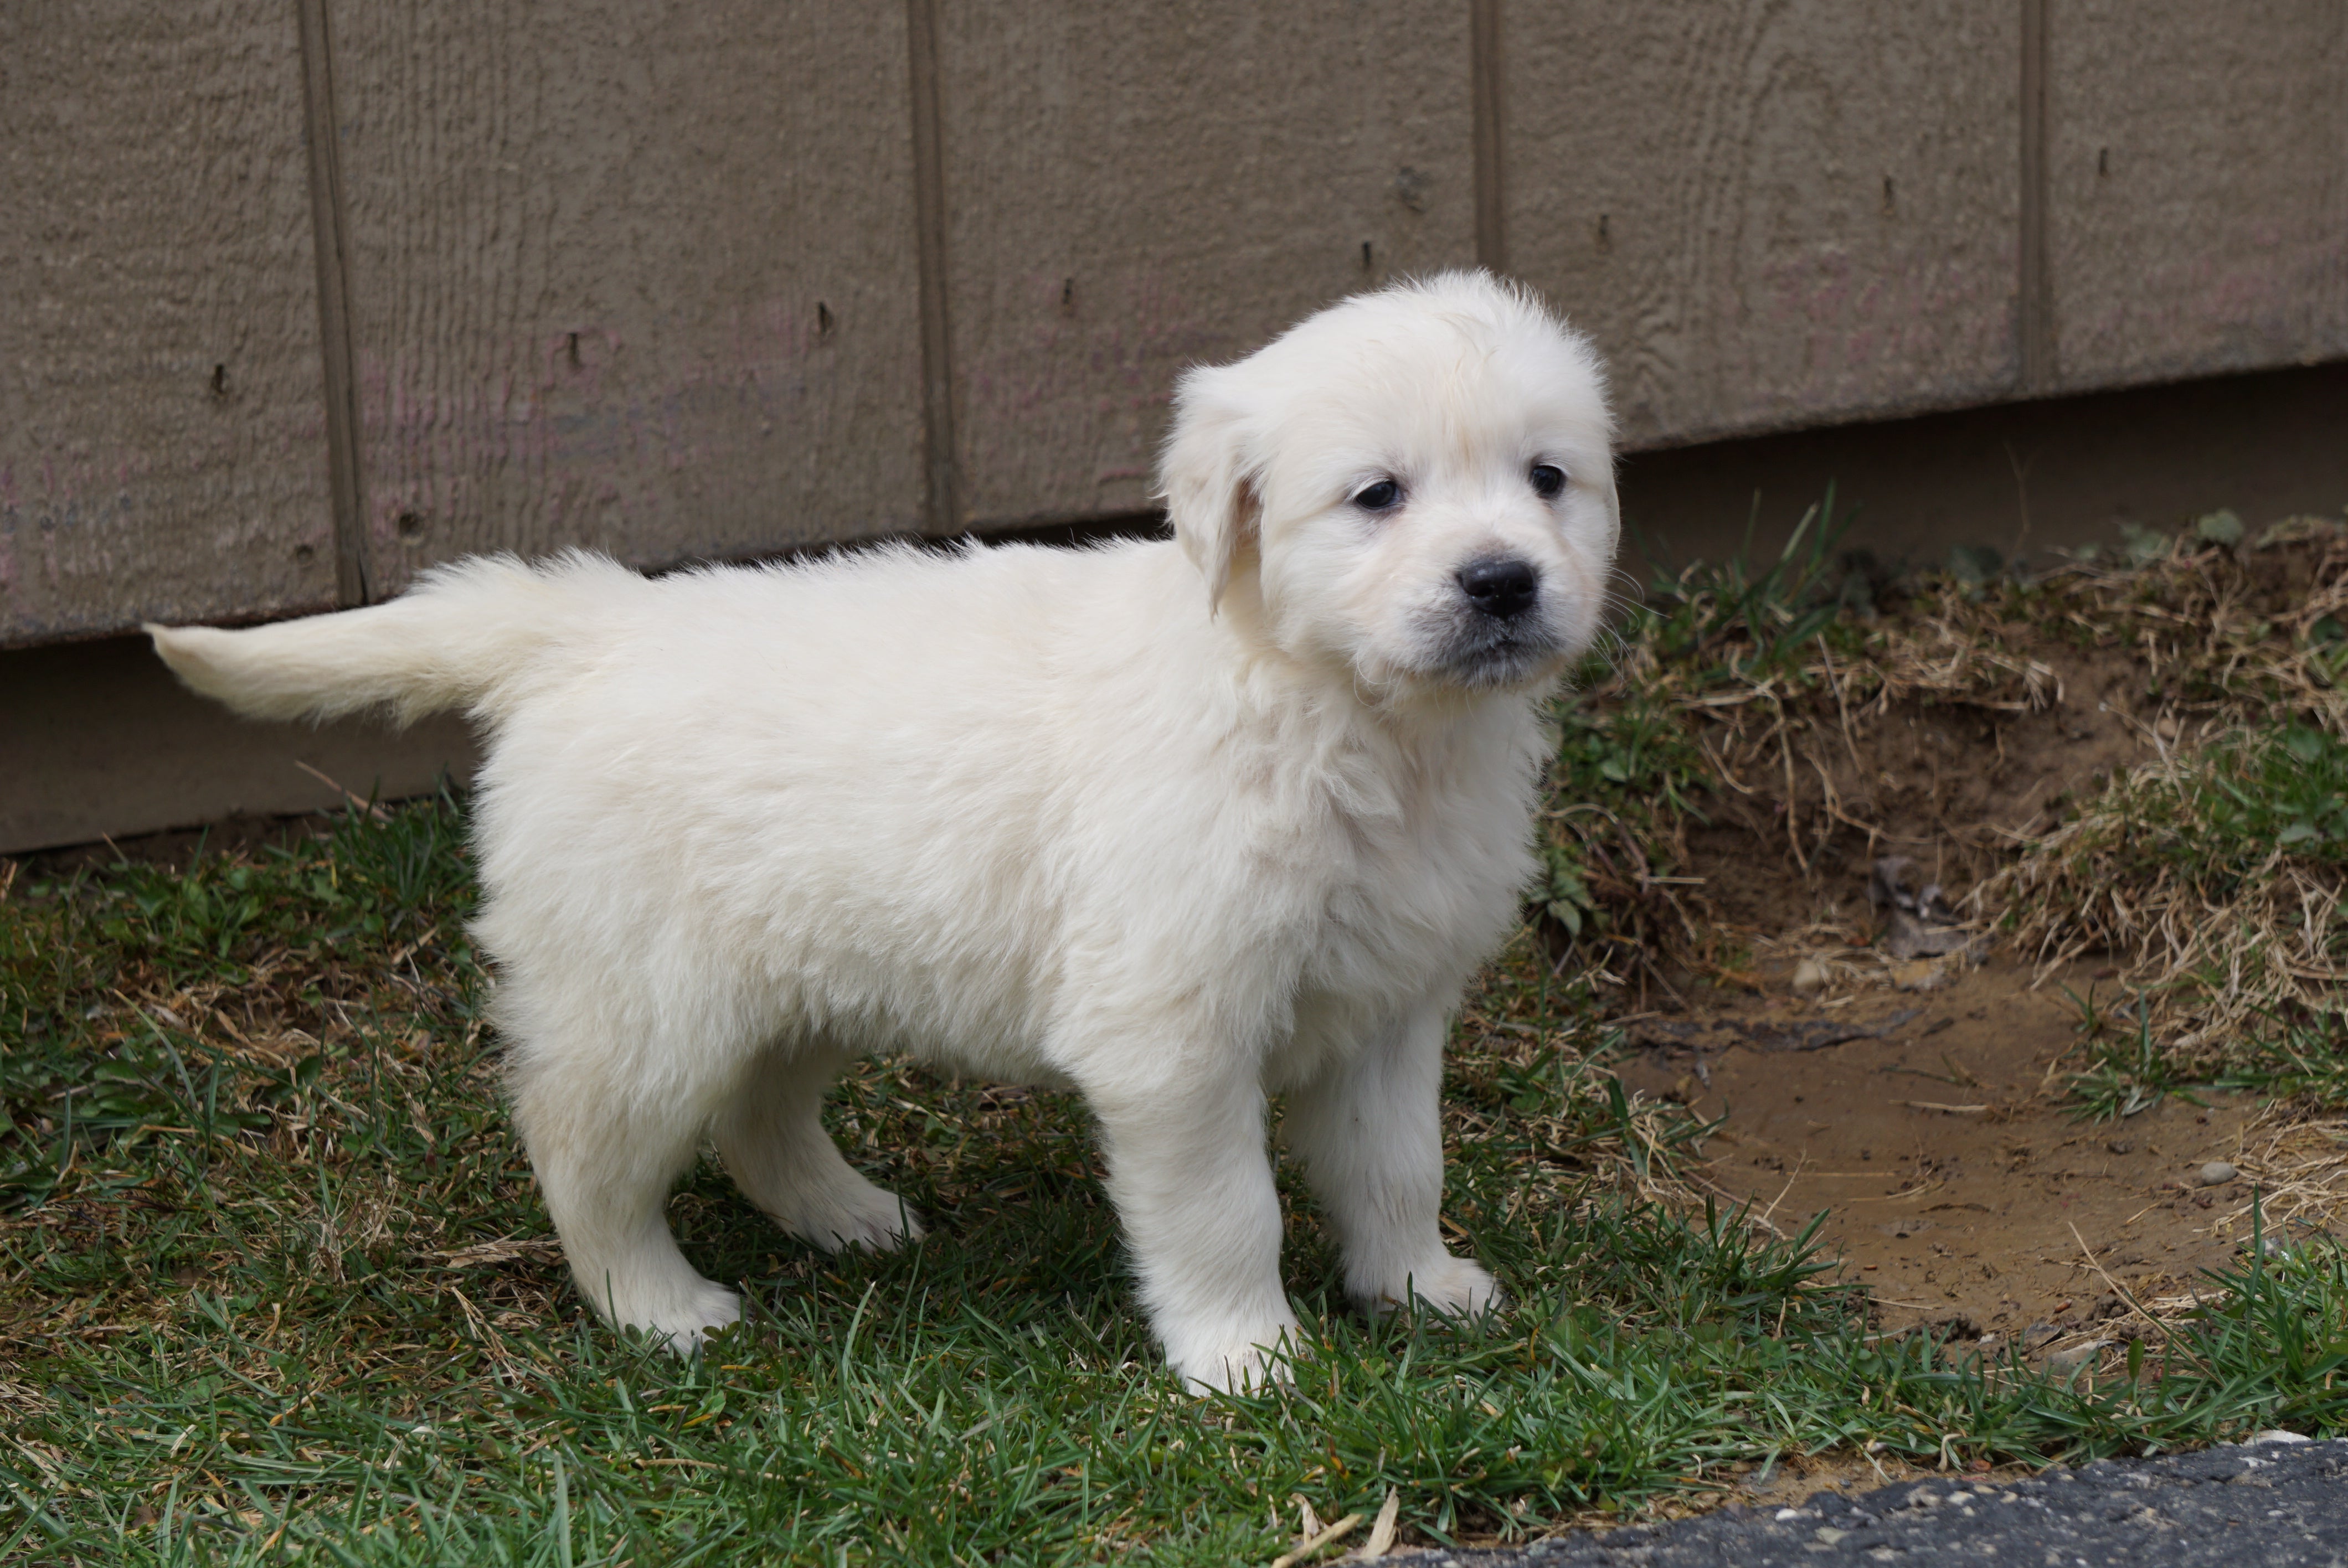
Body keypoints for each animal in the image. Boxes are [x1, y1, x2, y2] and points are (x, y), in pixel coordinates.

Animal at [151, 272, 1615, 1399]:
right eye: (1375, 496)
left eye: (1548, 480)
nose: (1499, 581)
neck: (1342, 711)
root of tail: (587, 624)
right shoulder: (1171, 1031)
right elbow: (1223, 1208)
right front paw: (1244, 1358)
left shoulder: (1385, 1006)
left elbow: (1396, 1165)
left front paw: (1418, 1289)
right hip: (643, 1001)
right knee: (582, 1151)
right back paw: (658, 1306)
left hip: (797, 972)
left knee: (758, 1117)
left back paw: (848, 1217)